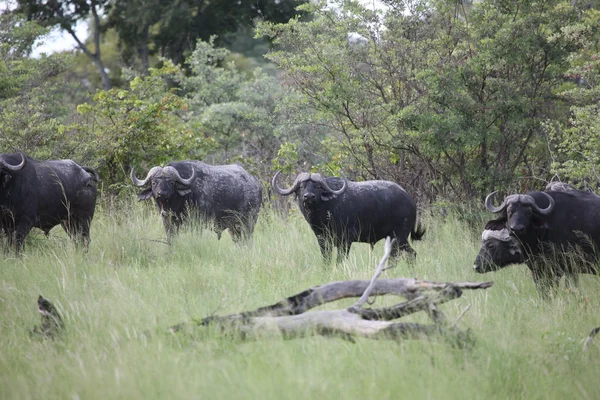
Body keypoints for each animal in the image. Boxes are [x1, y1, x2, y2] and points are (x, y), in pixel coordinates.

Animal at [130, 161, 262, 242]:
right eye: (154, 183)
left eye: (171, 182)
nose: (161, 194)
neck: (175, 204)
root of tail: (255, 184)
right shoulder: (168, 223)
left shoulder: (197, 223)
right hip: (234, 227)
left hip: (248, 222)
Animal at [270, 171, 424, 262]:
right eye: (302, 187)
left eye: (317, 187)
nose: (309, 196)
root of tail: (409, 199)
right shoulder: (322, 240)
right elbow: (326, 259)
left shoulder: (345, 241)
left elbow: (340, 259)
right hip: (395, 239)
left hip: (399, 237)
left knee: (406, 255)